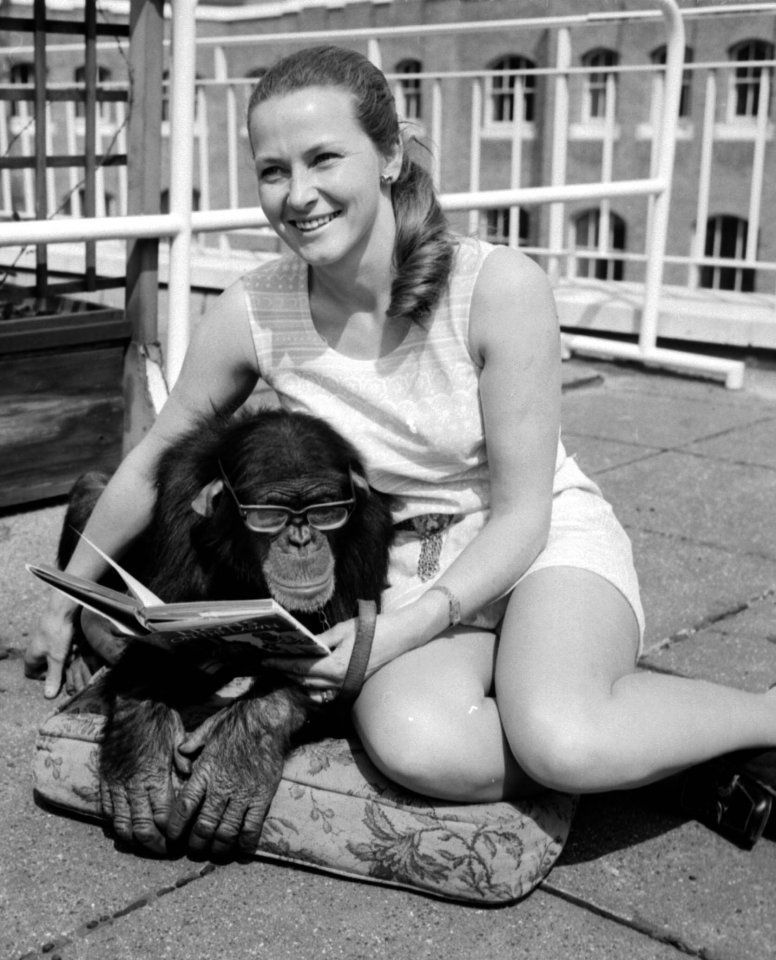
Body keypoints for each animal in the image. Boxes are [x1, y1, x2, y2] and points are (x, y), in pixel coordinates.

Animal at [59, 408, 394, 860]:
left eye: (325, 510)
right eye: (269, 515)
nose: (302, 540)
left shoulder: (369, 527)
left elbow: (335, 657)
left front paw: (239, 754)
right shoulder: (180, 500)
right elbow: (155, 637)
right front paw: (139, 749)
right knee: (92, 487)